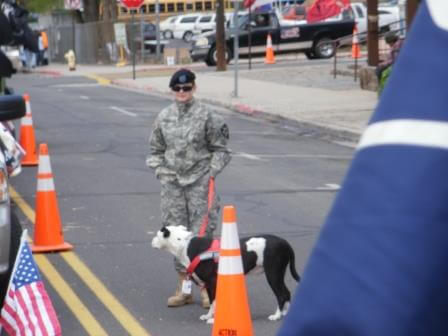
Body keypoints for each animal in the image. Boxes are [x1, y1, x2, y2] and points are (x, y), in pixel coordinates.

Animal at [151, 226, 300, 322]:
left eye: (158, 235)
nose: (152, 241)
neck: (185, 244)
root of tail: (285, 243)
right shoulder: (208, 285)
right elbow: (212, 302)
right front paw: (209, 316)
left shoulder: (212, 282)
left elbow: (215, 301)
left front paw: (213, 320)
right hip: (277, 274)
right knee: (286, 293)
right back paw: (285, 314)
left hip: (273, 274)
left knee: (282, 294)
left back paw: (277, 315)